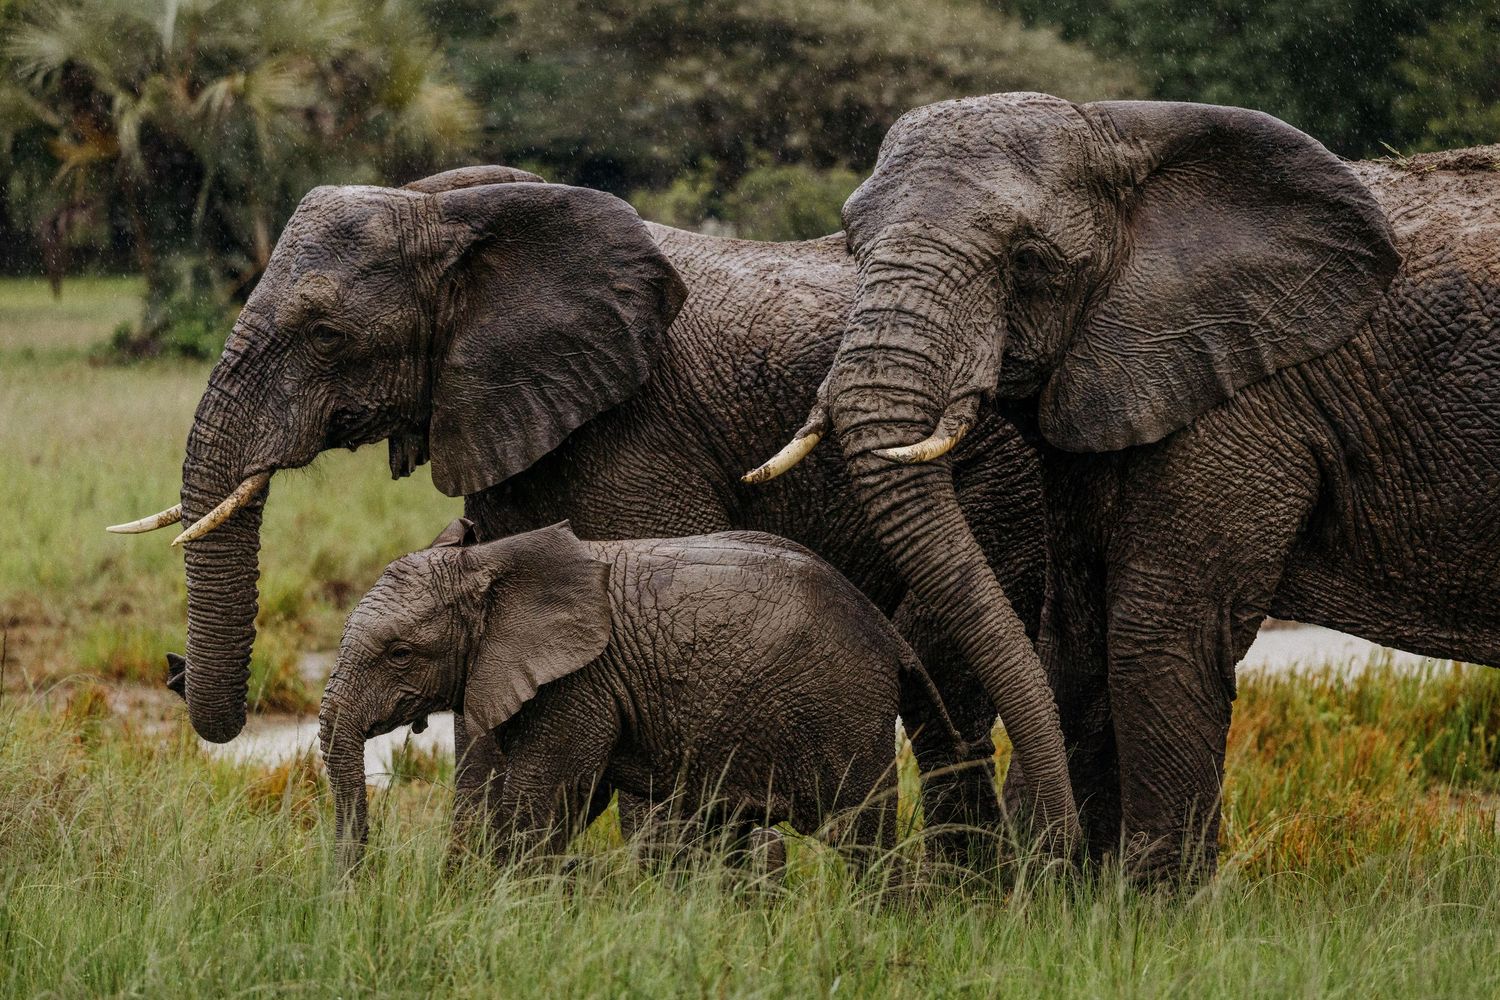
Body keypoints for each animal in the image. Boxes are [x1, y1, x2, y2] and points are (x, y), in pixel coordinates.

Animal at [319, 518, 950, 874]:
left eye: (400, 653)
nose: (359, 889)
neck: (493, 559)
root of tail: (889, 632)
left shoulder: (581, 682)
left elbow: (543, 802)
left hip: (842, 707)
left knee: (861, 837)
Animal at [755, 92, 1500, 880]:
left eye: (1028, 260)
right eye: (849, 245)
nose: (1039, 856)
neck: (1124, 134)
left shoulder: (1240, 388)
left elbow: (1158, 625)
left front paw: (1147, 897)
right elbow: (1078, 629)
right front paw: (1073, 888)